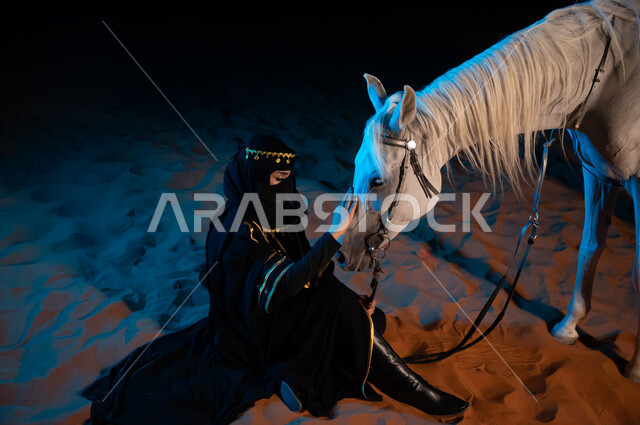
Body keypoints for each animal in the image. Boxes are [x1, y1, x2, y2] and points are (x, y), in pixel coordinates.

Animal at [335, 0, 640, 381]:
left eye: (377, 180)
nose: (341, 253)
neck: (609, 80)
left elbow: (636, 273)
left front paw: (634, 369)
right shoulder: (599, 173)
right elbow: (590, 248)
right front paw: (568, 328)